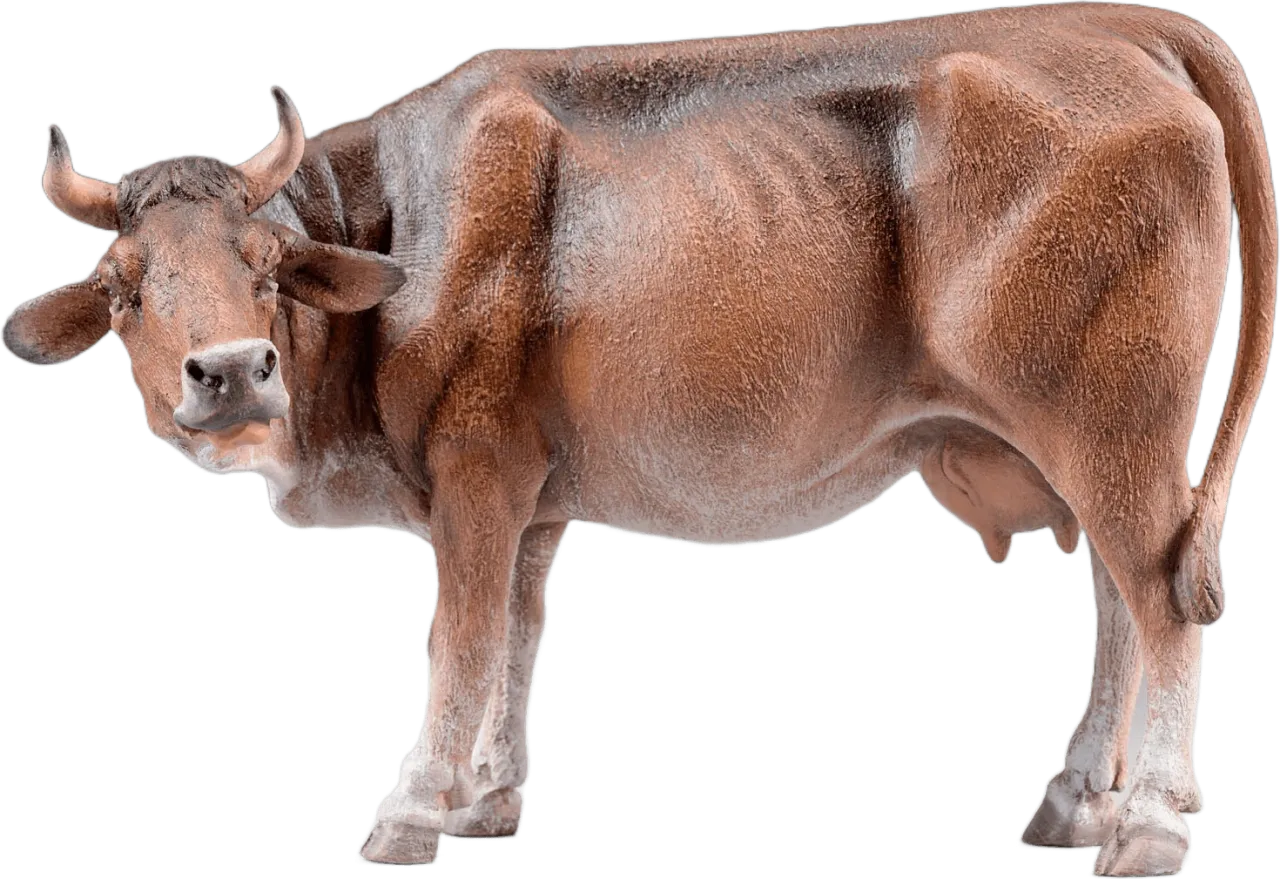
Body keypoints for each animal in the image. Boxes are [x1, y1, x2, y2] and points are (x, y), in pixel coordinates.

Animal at [2, 2, 1274, 875]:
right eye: (122, 287)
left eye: (265, 270)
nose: (229, 372)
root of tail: (1112, 25)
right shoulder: (531, 494)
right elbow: (513, 637)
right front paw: (486, 800)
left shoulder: (473, 470)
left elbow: (459, 641)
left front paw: (414, 809)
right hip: (1095, 442)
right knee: (1117, 595)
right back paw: (1073, 803)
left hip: (1108, 427)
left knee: (1157, 601)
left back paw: (1145, 829)